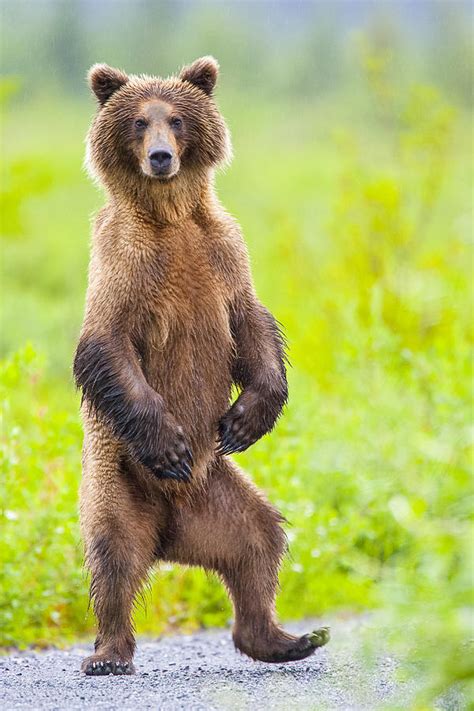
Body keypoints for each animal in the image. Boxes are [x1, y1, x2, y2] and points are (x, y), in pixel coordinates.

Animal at [73, 57, 330, 680]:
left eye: (178, 119)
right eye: (138, 122)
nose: (162, 157)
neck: (170, 214)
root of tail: (172, 531)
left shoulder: (223, 252)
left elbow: (251, 325)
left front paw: (247, 419)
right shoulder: (124, 262)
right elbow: (106, 343)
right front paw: (167, 441)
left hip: (222, 491)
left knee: (260, 544)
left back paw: (287, 639)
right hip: (117, 477)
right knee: (113, 556)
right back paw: (108, 653)